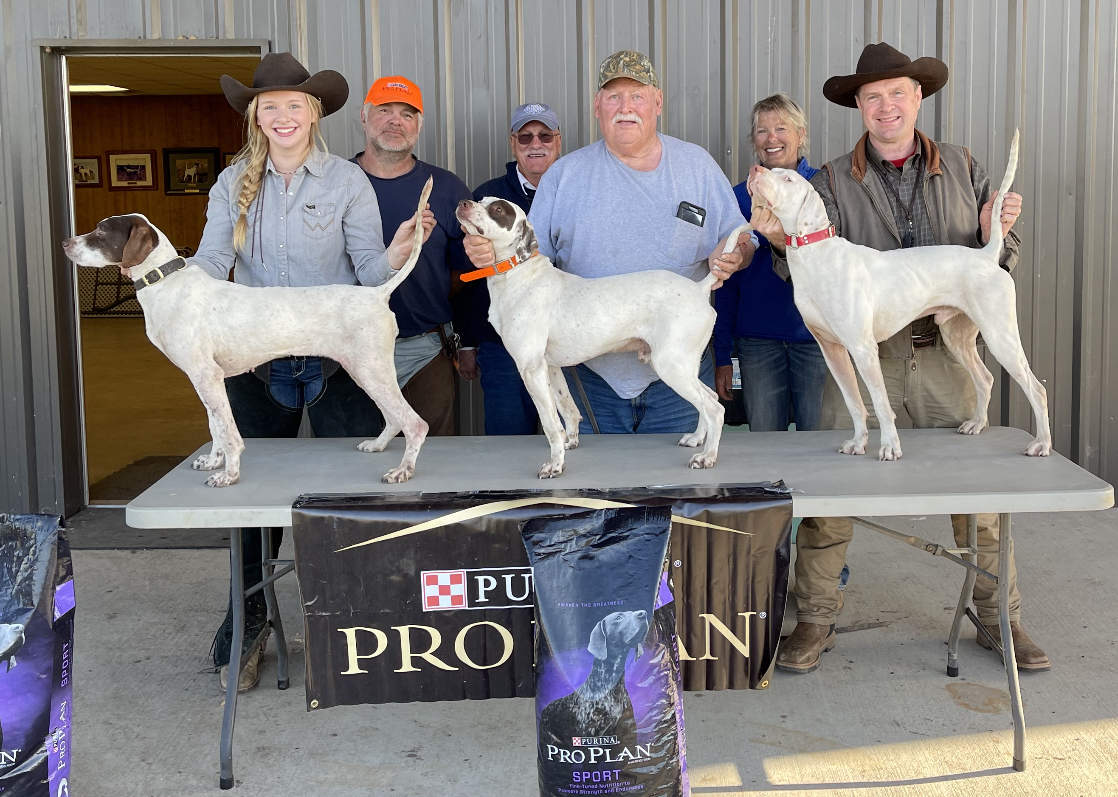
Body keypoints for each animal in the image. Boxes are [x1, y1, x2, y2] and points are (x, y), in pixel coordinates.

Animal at [60, 177, 436, 485]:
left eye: (101, 233)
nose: (65, 242)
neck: (166, 282)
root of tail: (377, 293)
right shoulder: (206, 379)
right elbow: (214, 426)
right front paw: (214, 461)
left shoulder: (206, 375)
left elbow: (229, 433)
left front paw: (229, 474)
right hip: (364, 371)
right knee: (395, 419)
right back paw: (378, 445)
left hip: (371, 369)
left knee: (414, 423)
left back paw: (403, 470)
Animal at [453, 195, 751, 476]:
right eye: (481, 200)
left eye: (498, 209)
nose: (463, 203)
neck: (518, 274)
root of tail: (699, 289)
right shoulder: (549, 367)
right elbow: (568, 410)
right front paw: (569, 443)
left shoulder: (530, 368)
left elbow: (550, 424)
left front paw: (555, 465)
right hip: (684, 365)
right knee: (711, 398)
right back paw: (697, 439)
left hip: (671, 366)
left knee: (715, 409)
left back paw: (707, 457)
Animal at [746, 130, 1050, 460]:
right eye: (773, 169)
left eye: (788, 178)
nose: (755, 170)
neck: (816, 254)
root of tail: (987, 255)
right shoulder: (832, 350)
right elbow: (855, 403)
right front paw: (858, 443)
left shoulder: (863, 348)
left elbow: (880, 404)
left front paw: (890, 447)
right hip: (956, 334)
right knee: (985, 378)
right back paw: (977, 424)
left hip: (1000, 336)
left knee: (1037, 389)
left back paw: (1042, 443)